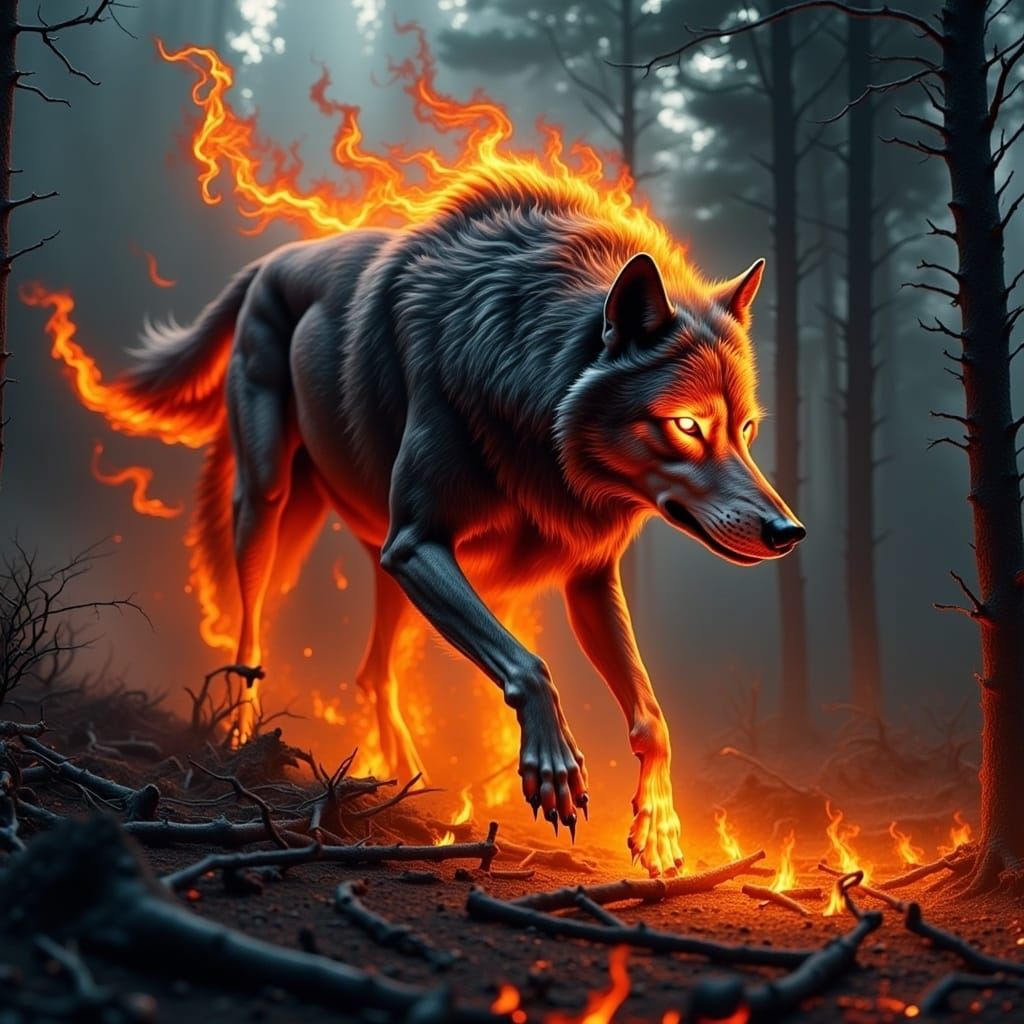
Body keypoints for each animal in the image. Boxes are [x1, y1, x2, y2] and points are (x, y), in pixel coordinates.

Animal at [119, 175, 804, 876]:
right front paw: (554, 768)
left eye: (747, 430)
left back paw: (406, 776)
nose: (789, 532)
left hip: (381, 558)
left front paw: (660, 828)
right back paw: (241, 735)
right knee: (251, 635)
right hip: (273, 505)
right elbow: (530, 665)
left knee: (371, 670)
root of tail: (269, 262)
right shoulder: (419, 543)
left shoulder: (584, 578)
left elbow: (652, 715)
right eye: (687, 425)